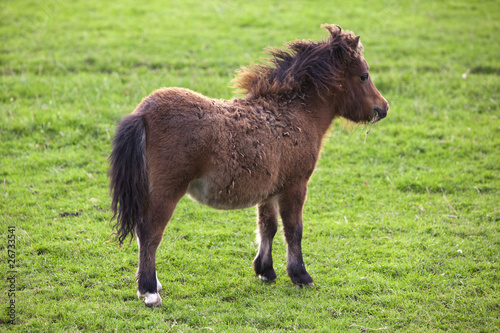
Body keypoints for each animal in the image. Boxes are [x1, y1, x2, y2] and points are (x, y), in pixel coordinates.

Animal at [109, 24, 390, 306]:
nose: (383, 108)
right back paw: (149, 290)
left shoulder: (270, 189)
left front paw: (266, 270)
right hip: (167, 191)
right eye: (364, 76)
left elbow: (268, 227)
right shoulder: (295, 185)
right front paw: (301, 275)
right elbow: (294, 229)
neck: (295, 115)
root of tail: (142, 114)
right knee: (150, 232)